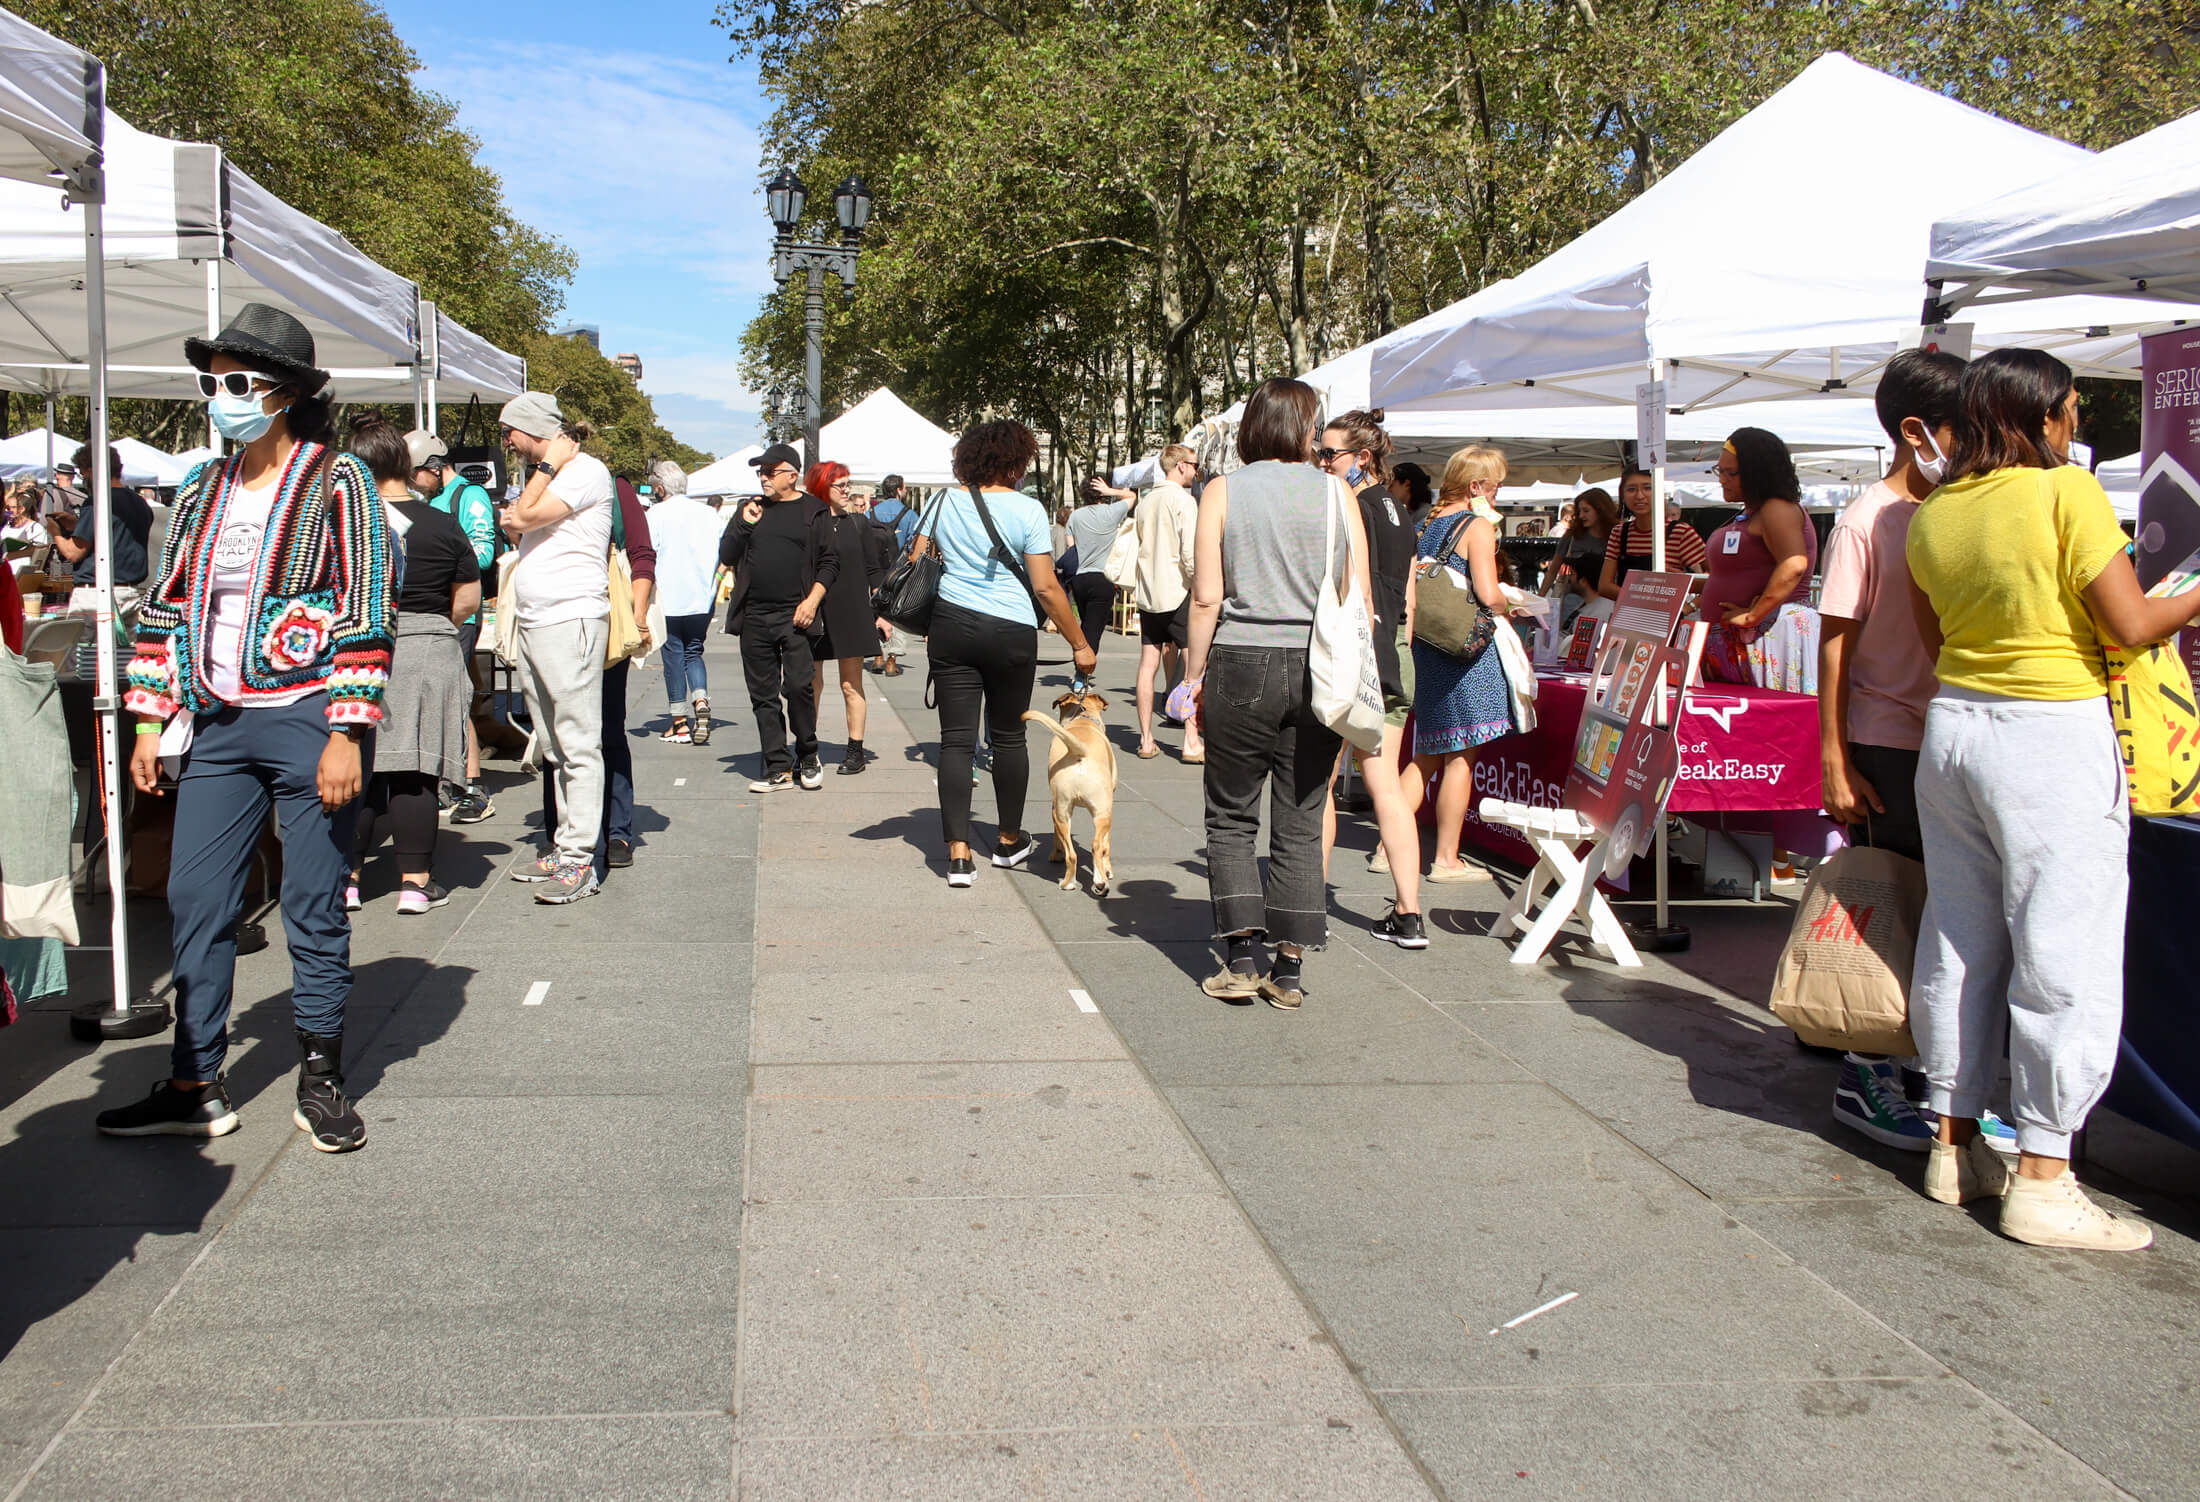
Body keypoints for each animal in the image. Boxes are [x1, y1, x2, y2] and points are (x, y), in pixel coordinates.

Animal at [1016, 690, 1117, 892]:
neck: (1083, 718)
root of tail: (1080, 752)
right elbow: (1106, 845)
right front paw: (1107, 869)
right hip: (1088, 811)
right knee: (1092, 847)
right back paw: (1091, 882)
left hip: (1065, 811)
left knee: (1077, 853)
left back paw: (1079, 883)